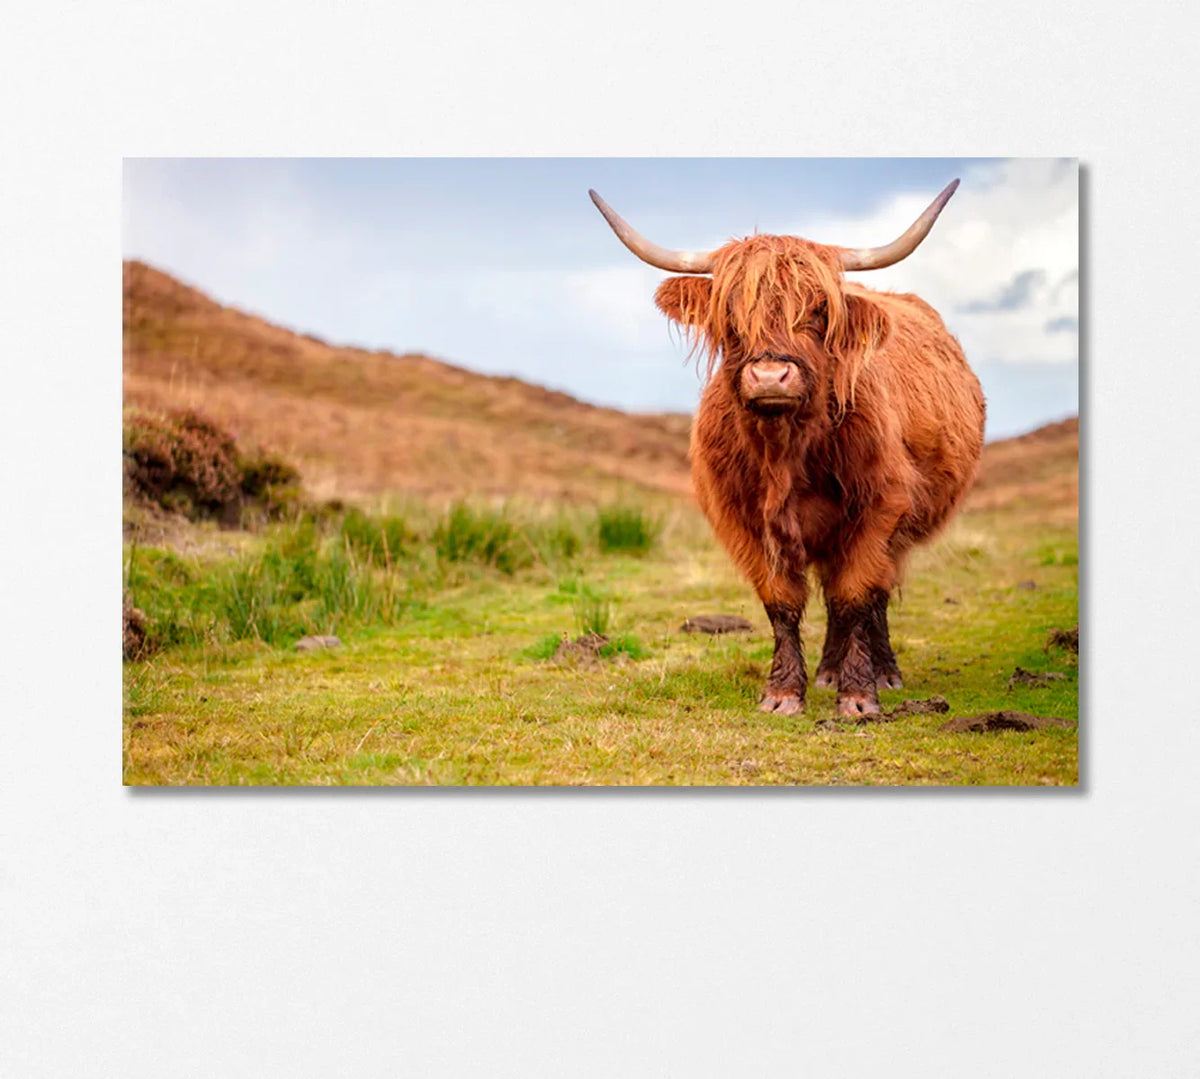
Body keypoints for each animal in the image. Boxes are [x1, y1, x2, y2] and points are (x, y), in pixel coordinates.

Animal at [590, 181, 986, 717]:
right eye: (730, 313)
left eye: (818, 311)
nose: (770, 376)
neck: (785, 452)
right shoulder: (744, 520)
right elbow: (781, 602)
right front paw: (782, 693)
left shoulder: (879, 508)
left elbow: (855, 595)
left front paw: (858, 697)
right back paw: (827, 671)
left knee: (873, 595)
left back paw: (882, 672)